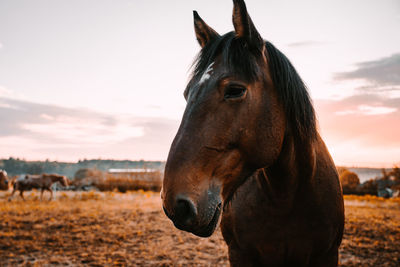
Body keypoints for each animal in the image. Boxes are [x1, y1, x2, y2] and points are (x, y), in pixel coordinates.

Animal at [161, 1, 346, 266]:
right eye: (187, 93)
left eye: (235, 90)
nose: (176, 204)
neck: (286, 197)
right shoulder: (240, 253)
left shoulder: (327, 254)